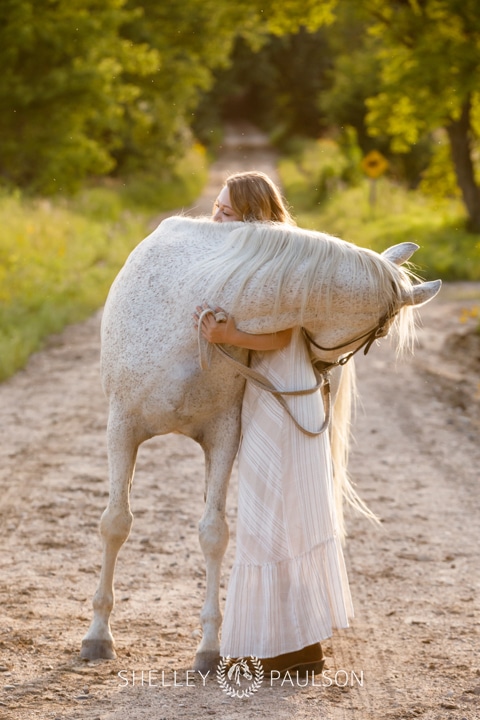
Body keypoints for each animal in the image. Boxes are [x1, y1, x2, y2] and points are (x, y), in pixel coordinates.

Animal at [79, 212, 442, 668]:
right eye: (380, 332)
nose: (323, 371)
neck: (190, 319)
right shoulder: (122, 429)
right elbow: (115, 524)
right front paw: (97, 636)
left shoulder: (223, 436)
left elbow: (213, 533)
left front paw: (210, 647)